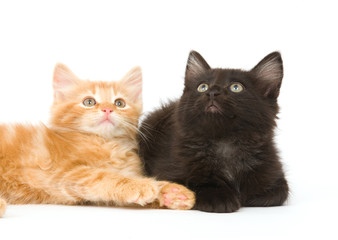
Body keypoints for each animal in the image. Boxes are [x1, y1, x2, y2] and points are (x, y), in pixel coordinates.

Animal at [0, 62, 195, 217]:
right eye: (89, 102)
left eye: (119, 103)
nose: (108, 109)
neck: (107, 144)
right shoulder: (65, 173)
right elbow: (105, 177)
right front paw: (141, 186)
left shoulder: (90, 196)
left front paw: (171, 192)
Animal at [139, 50, 290, 212]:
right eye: (203, 87)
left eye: (236, 87)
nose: (212, 92)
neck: (224, 141)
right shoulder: (167, 171)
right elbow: (194, 184)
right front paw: (219, 196)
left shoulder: (274, 172)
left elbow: (277, 192)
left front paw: (249, 197)